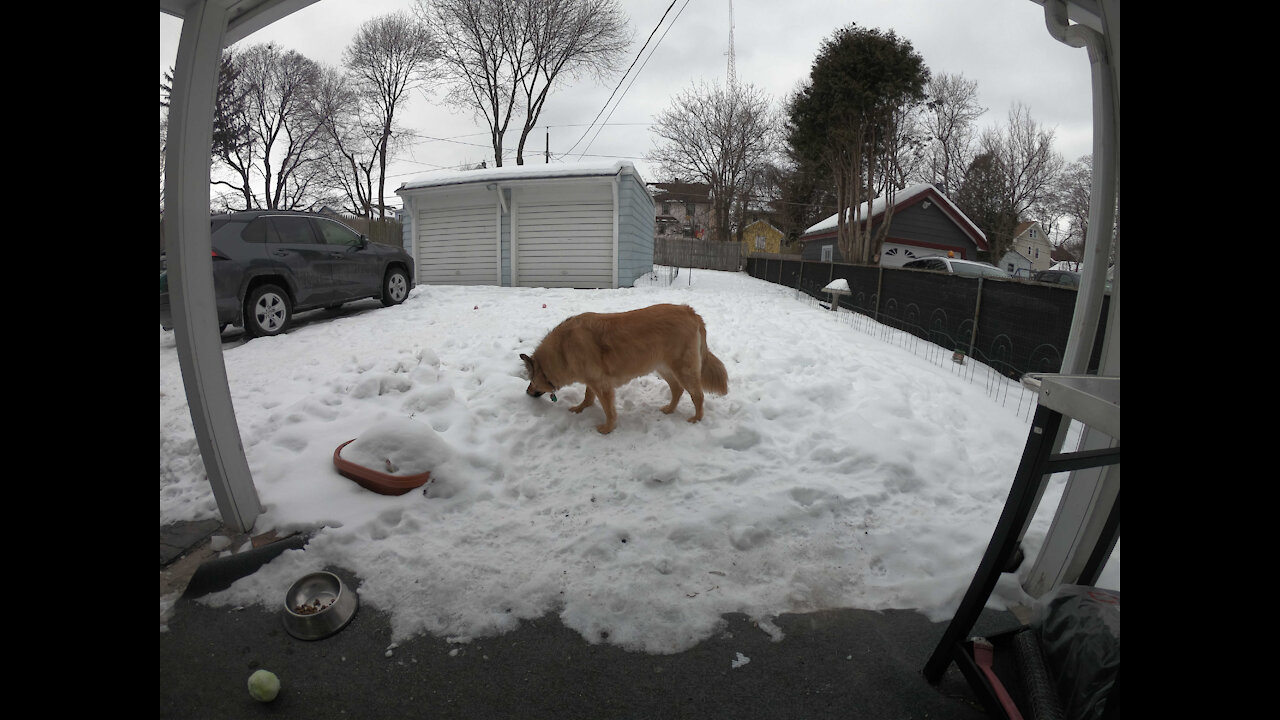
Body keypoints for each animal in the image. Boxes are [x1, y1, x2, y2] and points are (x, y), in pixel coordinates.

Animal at [522, 302, 732, 430]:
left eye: (531, 379)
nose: (527, 392)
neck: (562, 349)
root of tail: (690, 311)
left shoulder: (602, 385)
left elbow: (608, 410)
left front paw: (607, 429)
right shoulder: (593, 380)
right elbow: (588, 396)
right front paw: (581, 408)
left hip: (683, 369)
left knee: (698, 395)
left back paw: (697, 418)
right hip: (664, 368)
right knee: (677, 389)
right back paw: (669, 410)